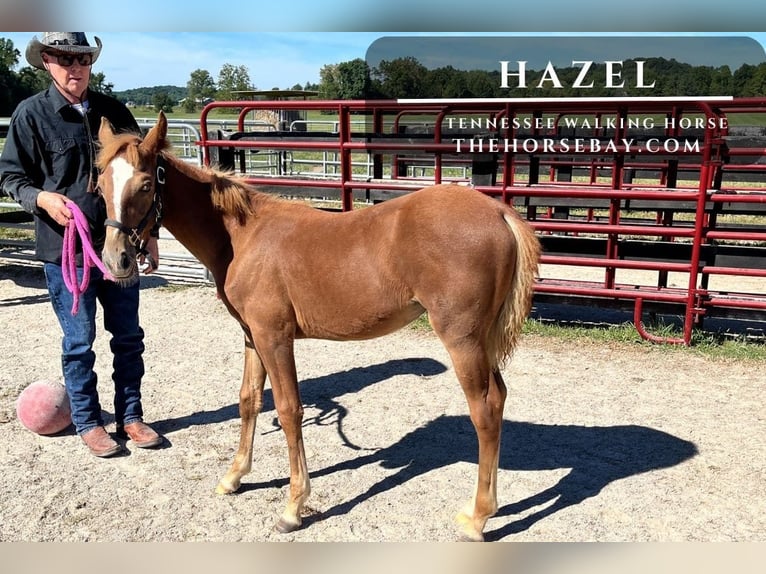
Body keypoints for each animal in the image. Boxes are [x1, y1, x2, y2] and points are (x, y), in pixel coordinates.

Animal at [95, 111, 540, 541]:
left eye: (146, 185)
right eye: (100, 185)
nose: (116, 260)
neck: (242, 237)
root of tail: (499, 212)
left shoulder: (275, 338)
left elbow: (289, 409)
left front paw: (293, 508)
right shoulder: (252, 337)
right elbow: (248, 401)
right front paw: (234, 477)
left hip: (461, 338)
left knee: (484, 409)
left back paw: (477, 518)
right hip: (481, 340)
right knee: (499, 398)